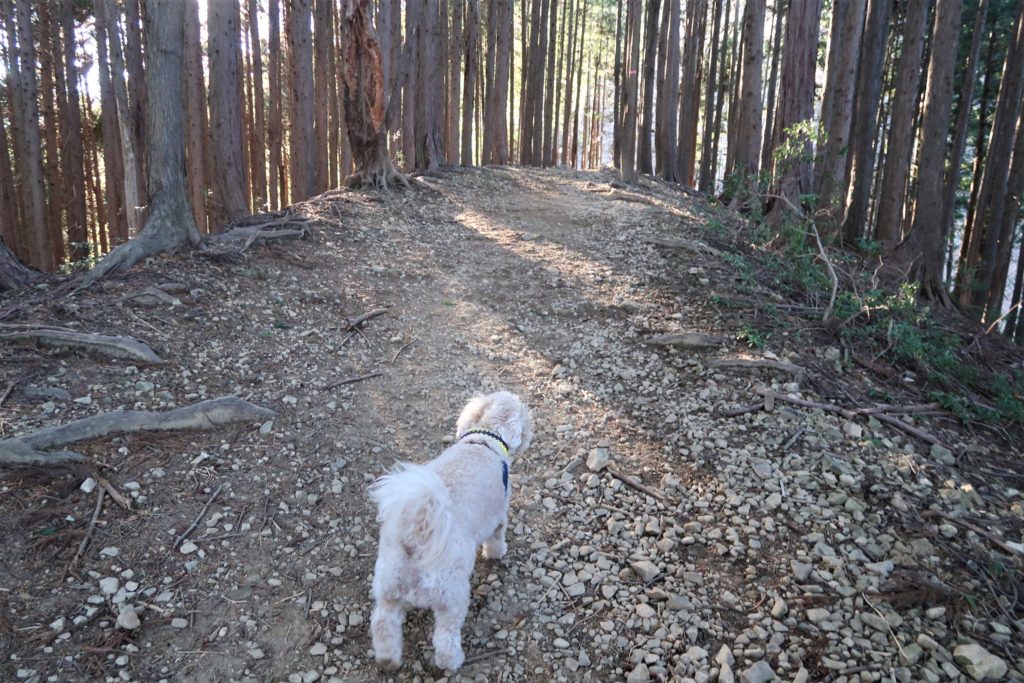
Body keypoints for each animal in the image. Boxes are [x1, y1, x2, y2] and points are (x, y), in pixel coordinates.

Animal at [368, 391, 532, 672]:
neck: (483, 441)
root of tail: (419, 535)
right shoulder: (499, 514)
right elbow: (497, 538)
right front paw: (498, 553)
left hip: (389, 585)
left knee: (383, 622)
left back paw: (388, 659)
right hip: (451, 595)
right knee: (445, 637)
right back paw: (452, 662)